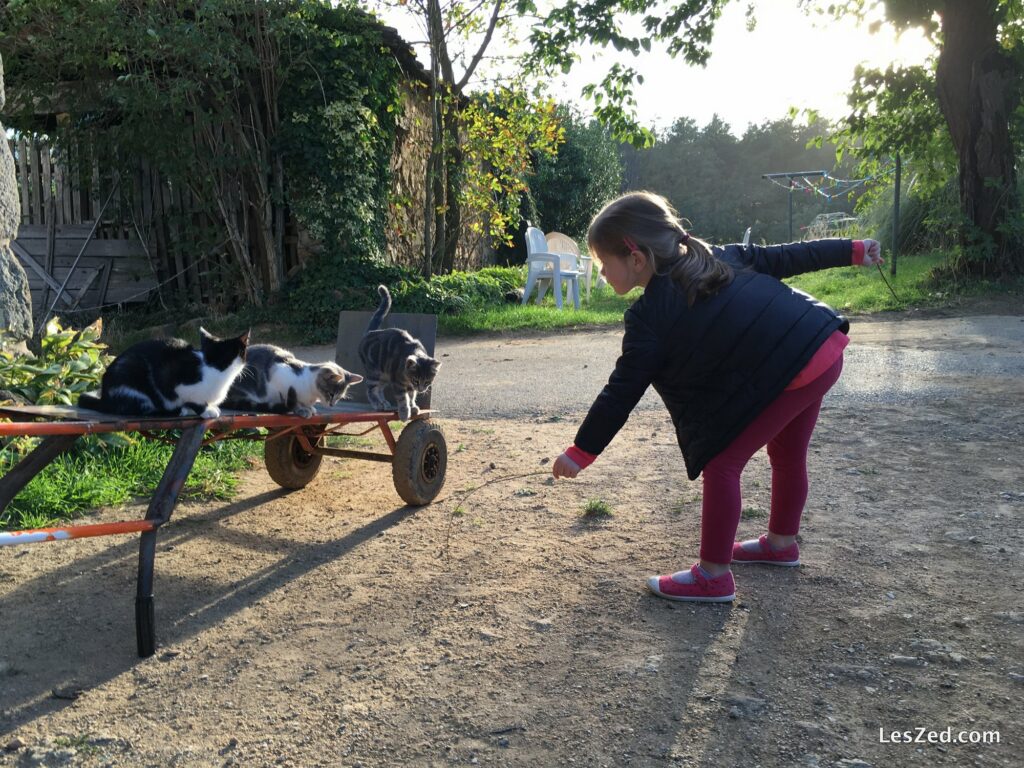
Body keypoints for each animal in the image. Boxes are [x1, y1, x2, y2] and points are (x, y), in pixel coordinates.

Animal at [77, 327, 249, 417]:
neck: (214, 366)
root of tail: (104, 398)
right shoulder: (175, 382)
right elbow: (193, 400)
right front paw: (207, 411)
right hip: (133, 384)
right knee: (144, 410)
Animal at [224, 344, 364, 417]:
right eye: (331, 394)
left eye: (339, 397)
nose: (332, 405)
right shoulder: (278, 376)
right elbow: (291, 400)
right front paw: (302, 409)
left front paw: (309, 408)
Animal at [356, 286, 440, 421]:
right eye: (417, 380)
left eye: (427, 381)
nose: (421, 389)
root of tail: (369, 332)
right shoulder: (398, 383)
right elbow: (403, 399)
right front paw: (405, 412)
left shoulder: (407, 384)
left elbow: (411, 395)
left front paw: (413, 406)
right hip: (375, 372)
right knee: (370, 388)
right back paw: (377, 404)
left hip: (385, 374)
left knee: (379, 389)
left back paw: (384, 402)